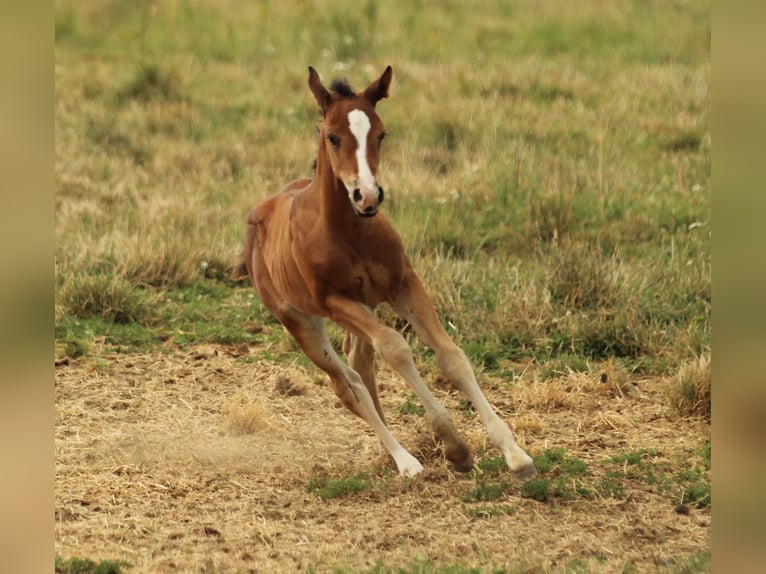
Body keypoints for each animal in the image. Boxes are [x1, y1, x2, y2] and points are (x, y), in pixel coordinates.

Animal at [234, 66, 537, 480]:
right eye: (332, 137)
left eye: (380, 134)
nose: (368, 196)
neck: (350, 232)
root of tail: (257, 216)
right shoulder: (335, 300)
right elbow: (396, 348)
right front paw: (454, 443)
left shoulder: (403, 283)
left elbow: (452, 357)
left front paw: (515, 454)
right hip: (302, 320)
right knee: (347, 384)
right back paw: (404, 460)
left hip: (364, 306)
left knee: (360, 363)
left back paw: (393, 449)